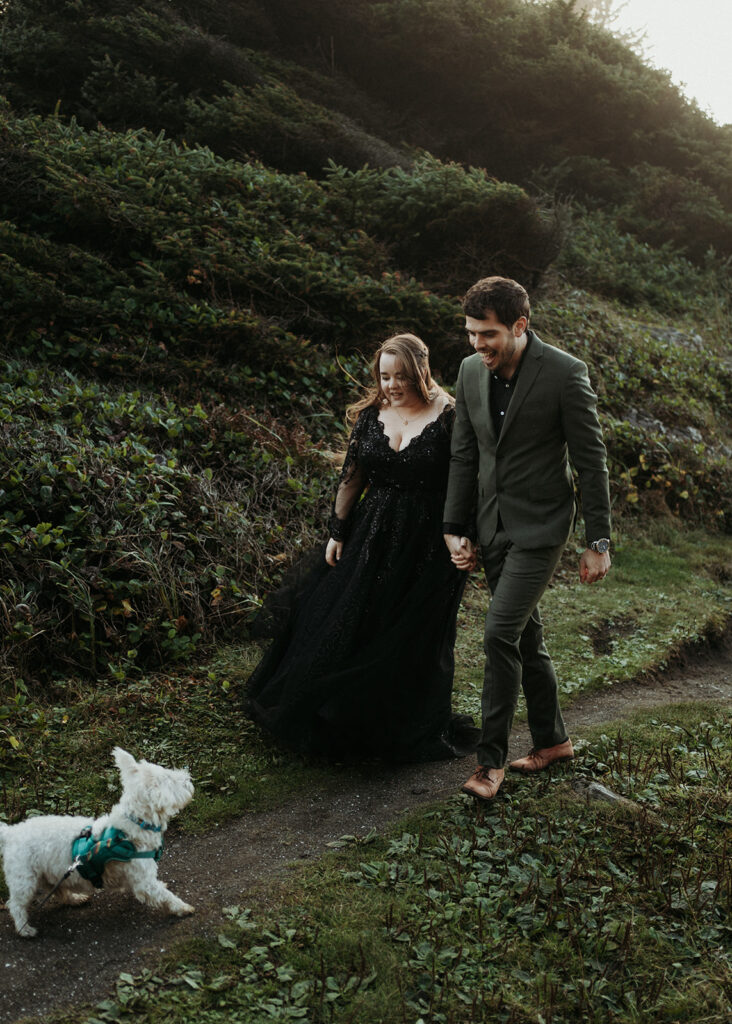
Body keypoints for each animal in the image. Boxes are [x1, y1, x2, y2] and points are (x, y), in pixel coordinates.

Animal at [0, 745, 194, 937]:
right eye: (169, 778)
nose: (188, 777)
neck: (134, 823)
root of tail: (11, 832)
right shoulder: (144, 881)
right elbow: (164, 895)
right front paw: (183, 907)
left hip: (48, 873)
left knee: (57, 890)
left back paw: (75, 899)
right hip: (24, 880)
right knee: (16, 905)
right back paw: (25, 928)